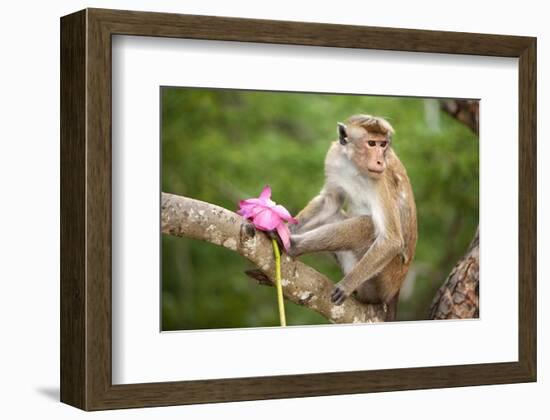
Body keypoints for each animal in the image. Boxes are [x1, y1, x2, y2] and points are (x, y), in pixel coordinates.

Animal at [292, 113, 416, 320]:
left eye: (383, 144)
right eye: (372, 143)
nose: (379, 161)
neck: (355, 166)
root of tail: (396, 290)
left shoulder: (381, 179)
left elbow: (391, 239)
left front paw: (346, 284)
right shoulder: (334, 157)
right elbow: (330, 202)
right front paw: (284, 226)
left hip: (383, 280)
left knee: (367, 226)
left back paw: (294, 246)